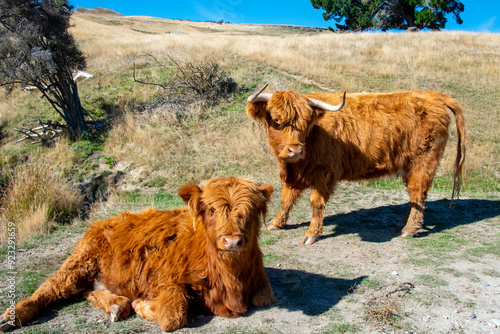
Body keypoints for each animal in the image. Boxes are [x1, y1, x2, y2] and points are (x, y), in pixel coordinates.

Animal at [0, 177, 276, 332]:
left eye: (251, 210)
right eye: (210, 210)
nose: (232, 241)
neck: (230, 279)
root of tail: (101, 222)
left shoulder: (262, 286)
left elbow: (264, 298)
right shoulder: (166, 281)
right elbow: (173, 316)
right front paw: (142, 305)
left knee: (89, 291)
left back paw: (116, 305)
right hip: (78, 263)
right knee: (49, 289)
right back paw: (12, 317)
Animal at [248, 85, 466, 244]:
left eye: (306, 123)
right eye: (276, 120)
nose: (295, 151)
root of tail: (434, 96)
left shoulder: (324, 173)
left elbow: (316, 203)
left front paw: (312, 234)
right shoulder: (295, 173)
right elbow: (287, 198)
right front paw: (276, 223)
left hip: (423, 162)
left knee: (418, 194)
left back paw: (410, 229)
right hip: (409, 166)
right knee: (415, 196)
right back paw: (404, 223)